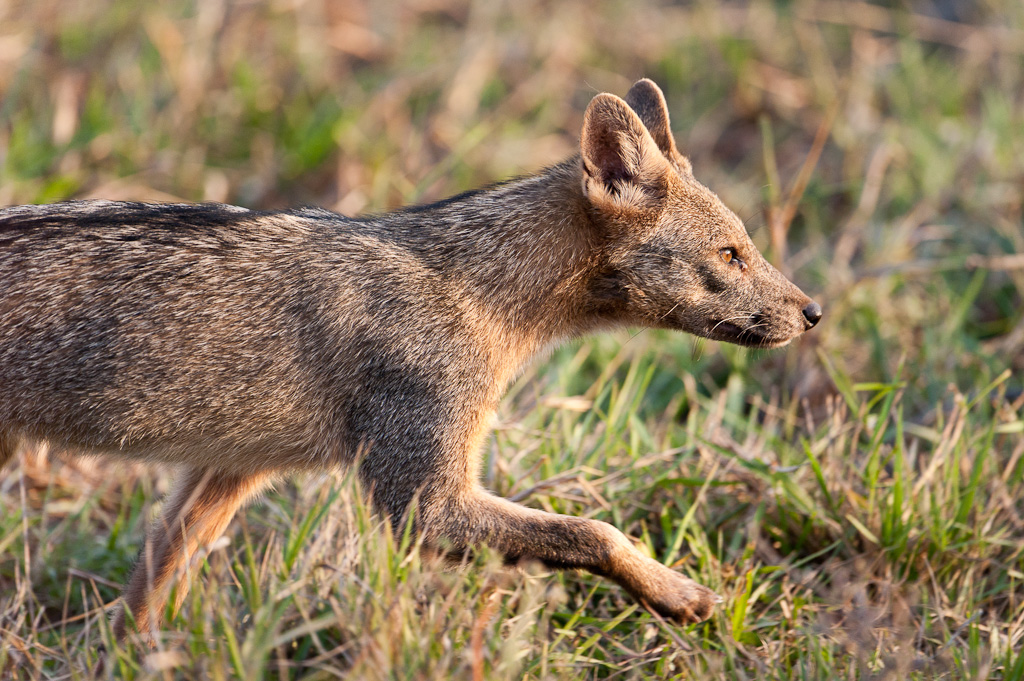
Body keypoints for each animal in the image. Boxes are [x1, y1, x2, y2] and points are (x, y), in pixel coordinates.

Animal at [0, 79, 821, 640]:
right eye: (732, 253)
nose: (813, 312)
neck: (478, 290)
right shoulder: (423, 504)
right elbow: (596, 532)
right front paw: (678, 591)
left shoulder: (228, 471)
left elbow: (146, 591)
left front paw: (127, 654)